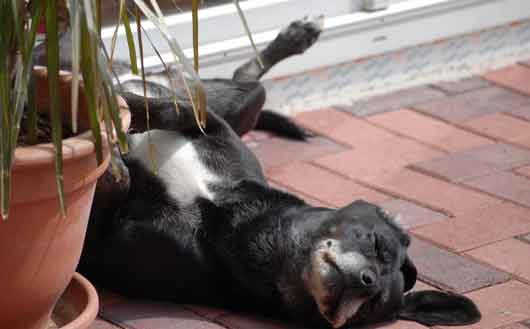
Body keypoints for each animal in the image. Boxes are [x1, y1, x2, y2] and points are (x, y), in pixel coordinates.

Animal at [38, 18, 478, 328]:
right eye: (377, 245)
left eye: (372, 307)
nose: (367, 280)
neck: (230, 212)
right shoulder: (211, 126)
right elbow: (174, 111)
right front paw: (117, 105)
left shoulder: (106, 233)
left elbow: (117, 181)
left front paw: (114, 149)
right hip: (228, 100)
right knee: (234, 83)